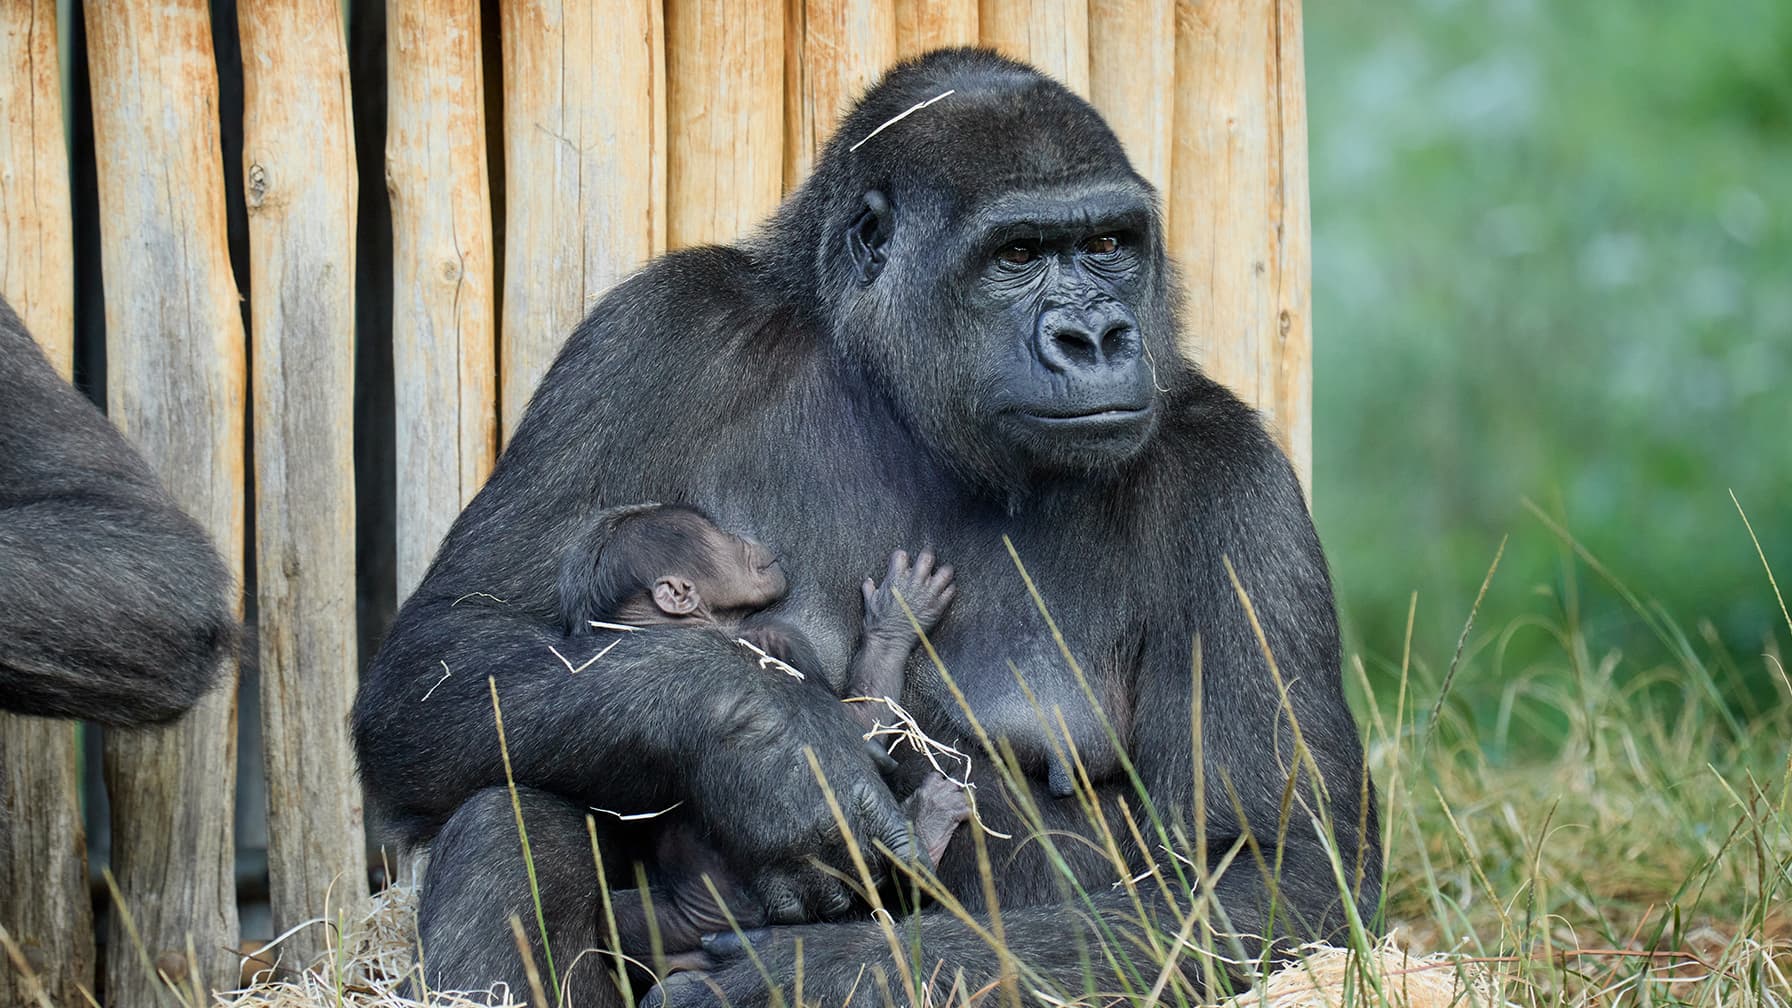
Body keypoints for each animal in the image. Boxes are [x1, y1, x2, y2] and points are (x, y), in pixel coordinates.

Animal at [562, 502, 974, 954]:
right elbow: (854, 726)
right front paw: (897, 618)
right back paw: (927, 823)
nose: (744, 537)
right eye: (720, 535)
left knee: (616, 921)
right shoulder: (779, 635)